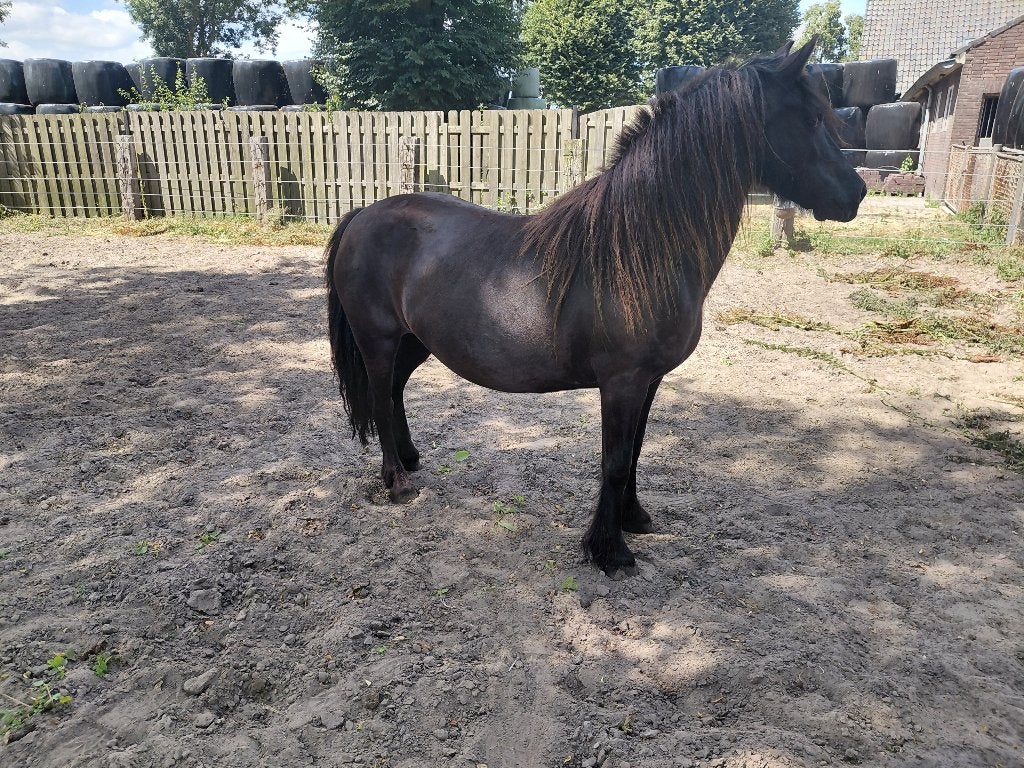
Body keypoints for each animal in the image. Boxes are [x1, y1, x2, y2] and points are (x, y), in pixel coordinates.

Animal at [324, 38, 866, 572]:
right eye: (811, 119)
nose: (857, 193)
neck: (640, 248)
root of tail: (362, 215)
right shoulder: (622, 382)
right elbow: (615, 461)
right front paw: (608, 550)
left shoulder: (650, 380)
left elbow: (636, 451)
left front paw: (634, 518)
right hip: (379, 339)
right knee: (379, 393)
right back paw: (397, 482)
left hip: (417, 341)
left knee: (395, 389)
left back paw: (410, 458)